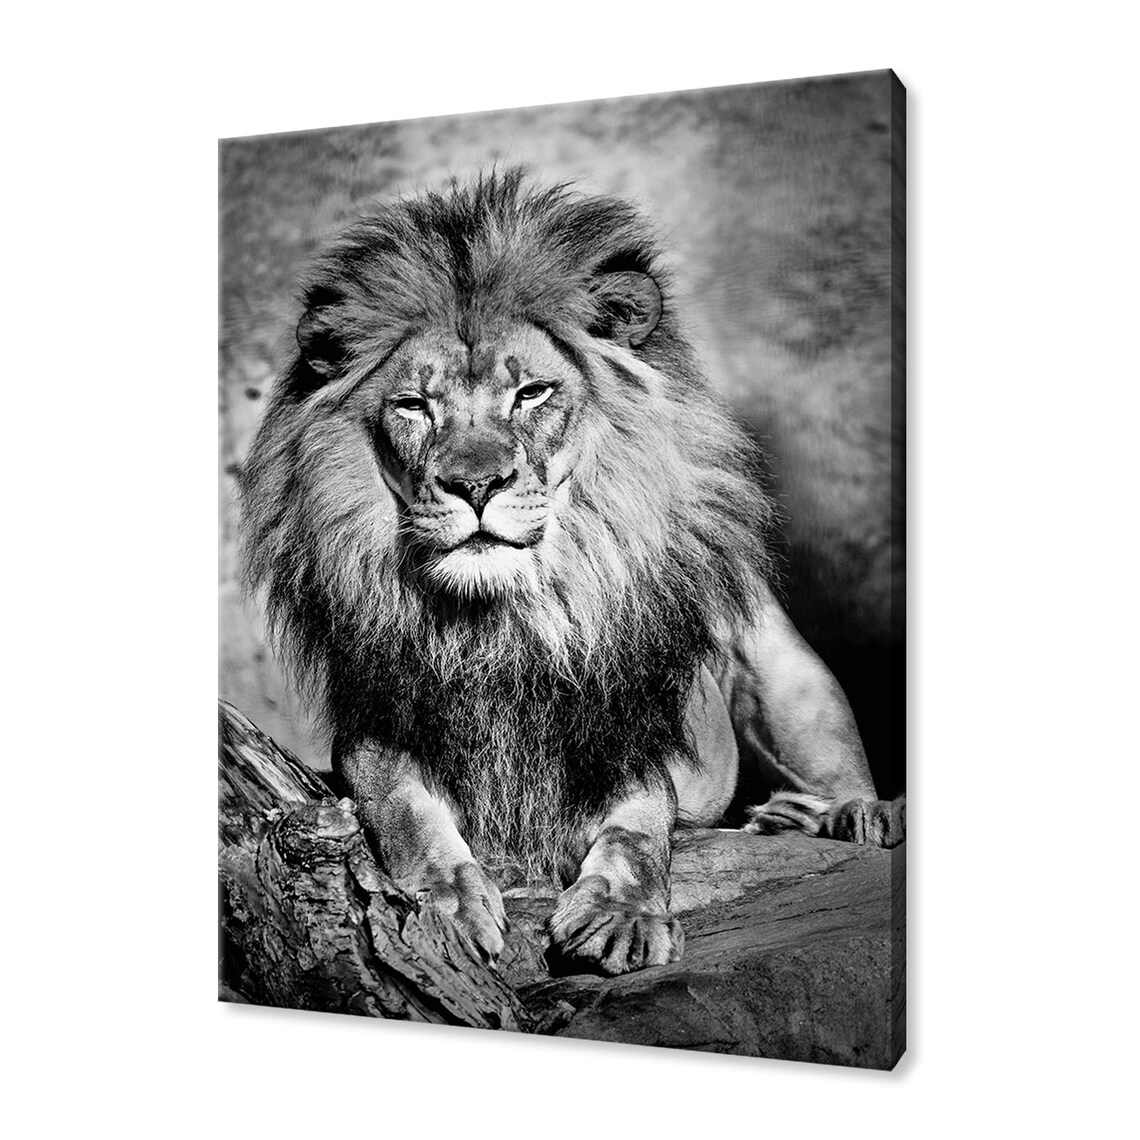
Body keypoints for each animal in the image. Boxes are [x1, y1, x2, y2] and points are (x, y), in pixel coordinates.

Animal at [239, 169, 903, 978]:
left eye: (531, 393)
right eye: (414, 406)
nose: (476, 484)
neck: (502, 615)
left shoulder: (627, 731)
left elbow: (638, 828)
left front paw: (620, 913)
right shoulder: (382, 724)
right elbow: (404, 811)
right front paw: (445, 905)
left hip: (780, 666)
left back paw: (845, 812)